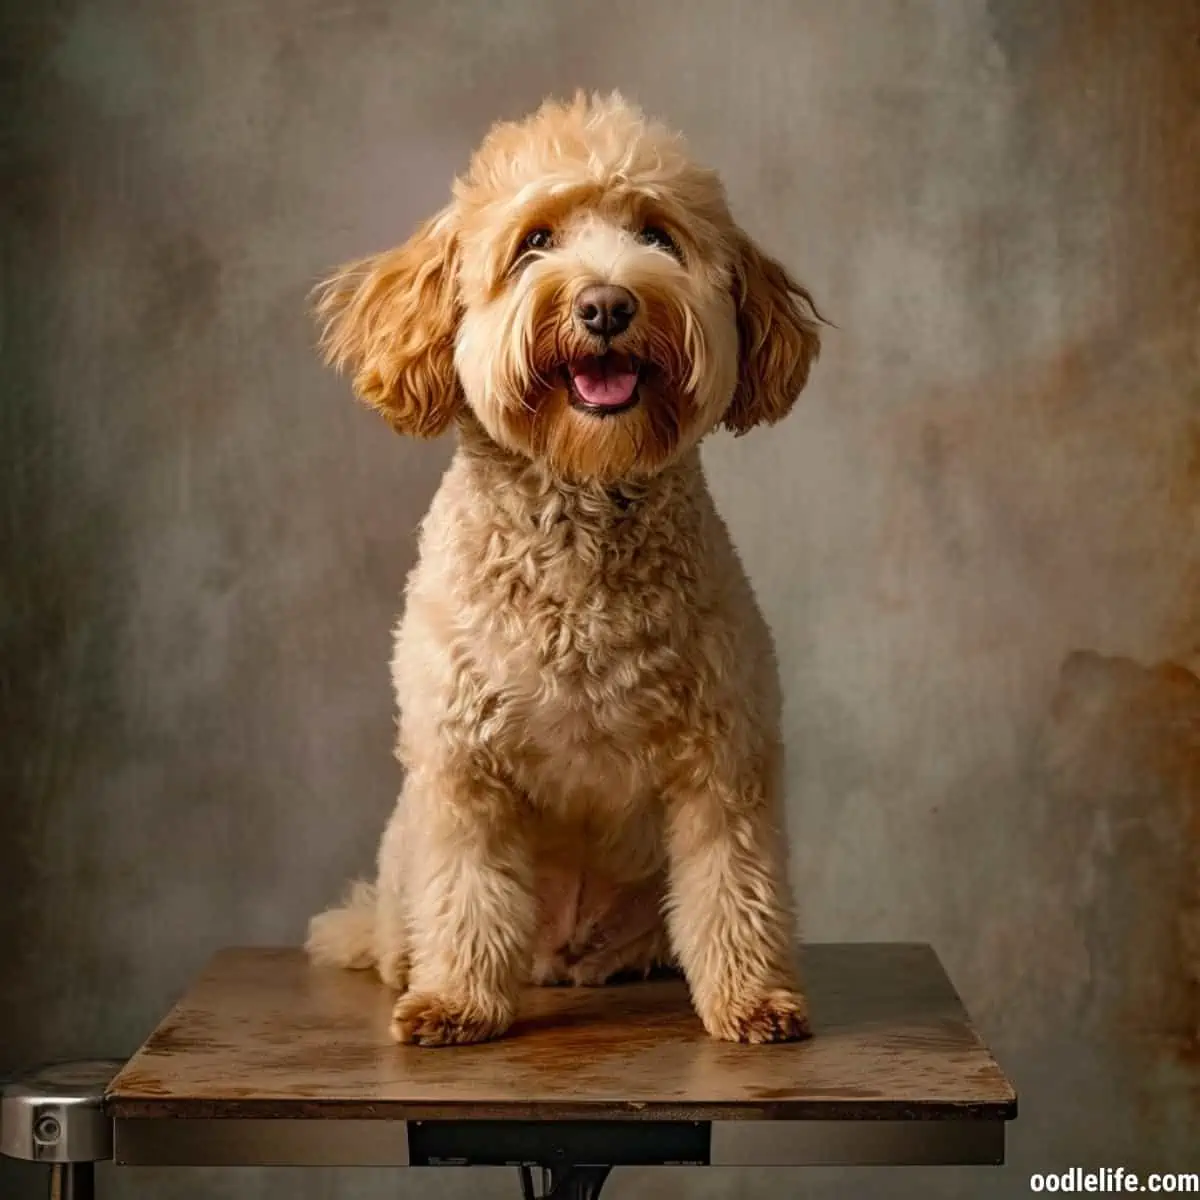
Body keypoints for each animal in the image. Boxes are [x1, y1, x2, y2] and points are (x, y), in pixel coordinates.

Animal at [304, 93, 820, 1046]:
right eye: (534, 242)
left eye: (657, 235)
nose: (608, 305)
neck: (581, 503)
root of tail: (566, 956)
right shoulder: (462, 765)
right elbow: (467, 888)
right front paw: (457, 1001)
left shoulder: (723, 758)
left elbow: (735, 885)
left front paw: (751, 999)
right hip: (404, 844)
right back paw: (406, 962)